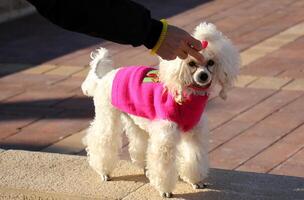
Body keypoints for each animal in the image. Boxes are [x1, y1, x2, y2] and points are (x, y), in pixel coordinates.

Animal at [81, 22, 240, 198]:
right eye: (191, 64)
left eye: (211, 62)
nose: (203, 76)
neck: (188, 97)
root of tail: (105, 77)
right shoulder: (166, 135)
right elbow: (163, 164)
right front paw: (165, 190)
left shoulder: (194, 133)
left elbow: (194, 157)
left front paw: (195, 181)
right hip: (108, 115)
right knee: (101, 139)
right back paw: (103, 171)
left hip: (136, 118)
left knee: (138, 142)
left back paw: (143, 166)